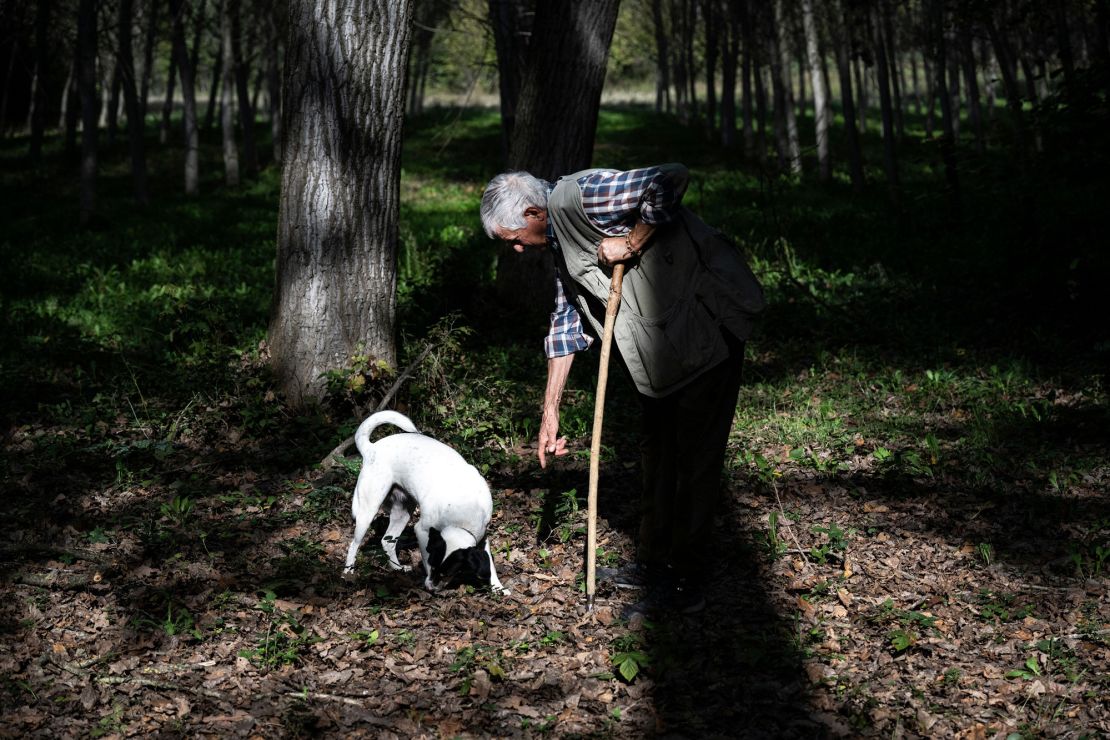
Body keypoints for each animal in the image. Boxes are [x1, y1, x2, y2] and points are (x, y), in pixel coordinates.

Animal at [339, 410, 508, 594]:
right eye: (434, 566)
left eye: (448, 572)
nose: (431, 587)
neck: (461, 514)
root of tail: (371, 448)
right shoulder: (421, 531)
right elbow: (425, 557)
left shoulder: (482, 536)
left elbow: (490, 565)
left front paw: (498, 588)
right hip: (368, 510)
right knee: (354, 544)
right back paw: (348, 573)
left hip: (402, 512)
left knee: (387, 541)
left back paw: (398, 568)